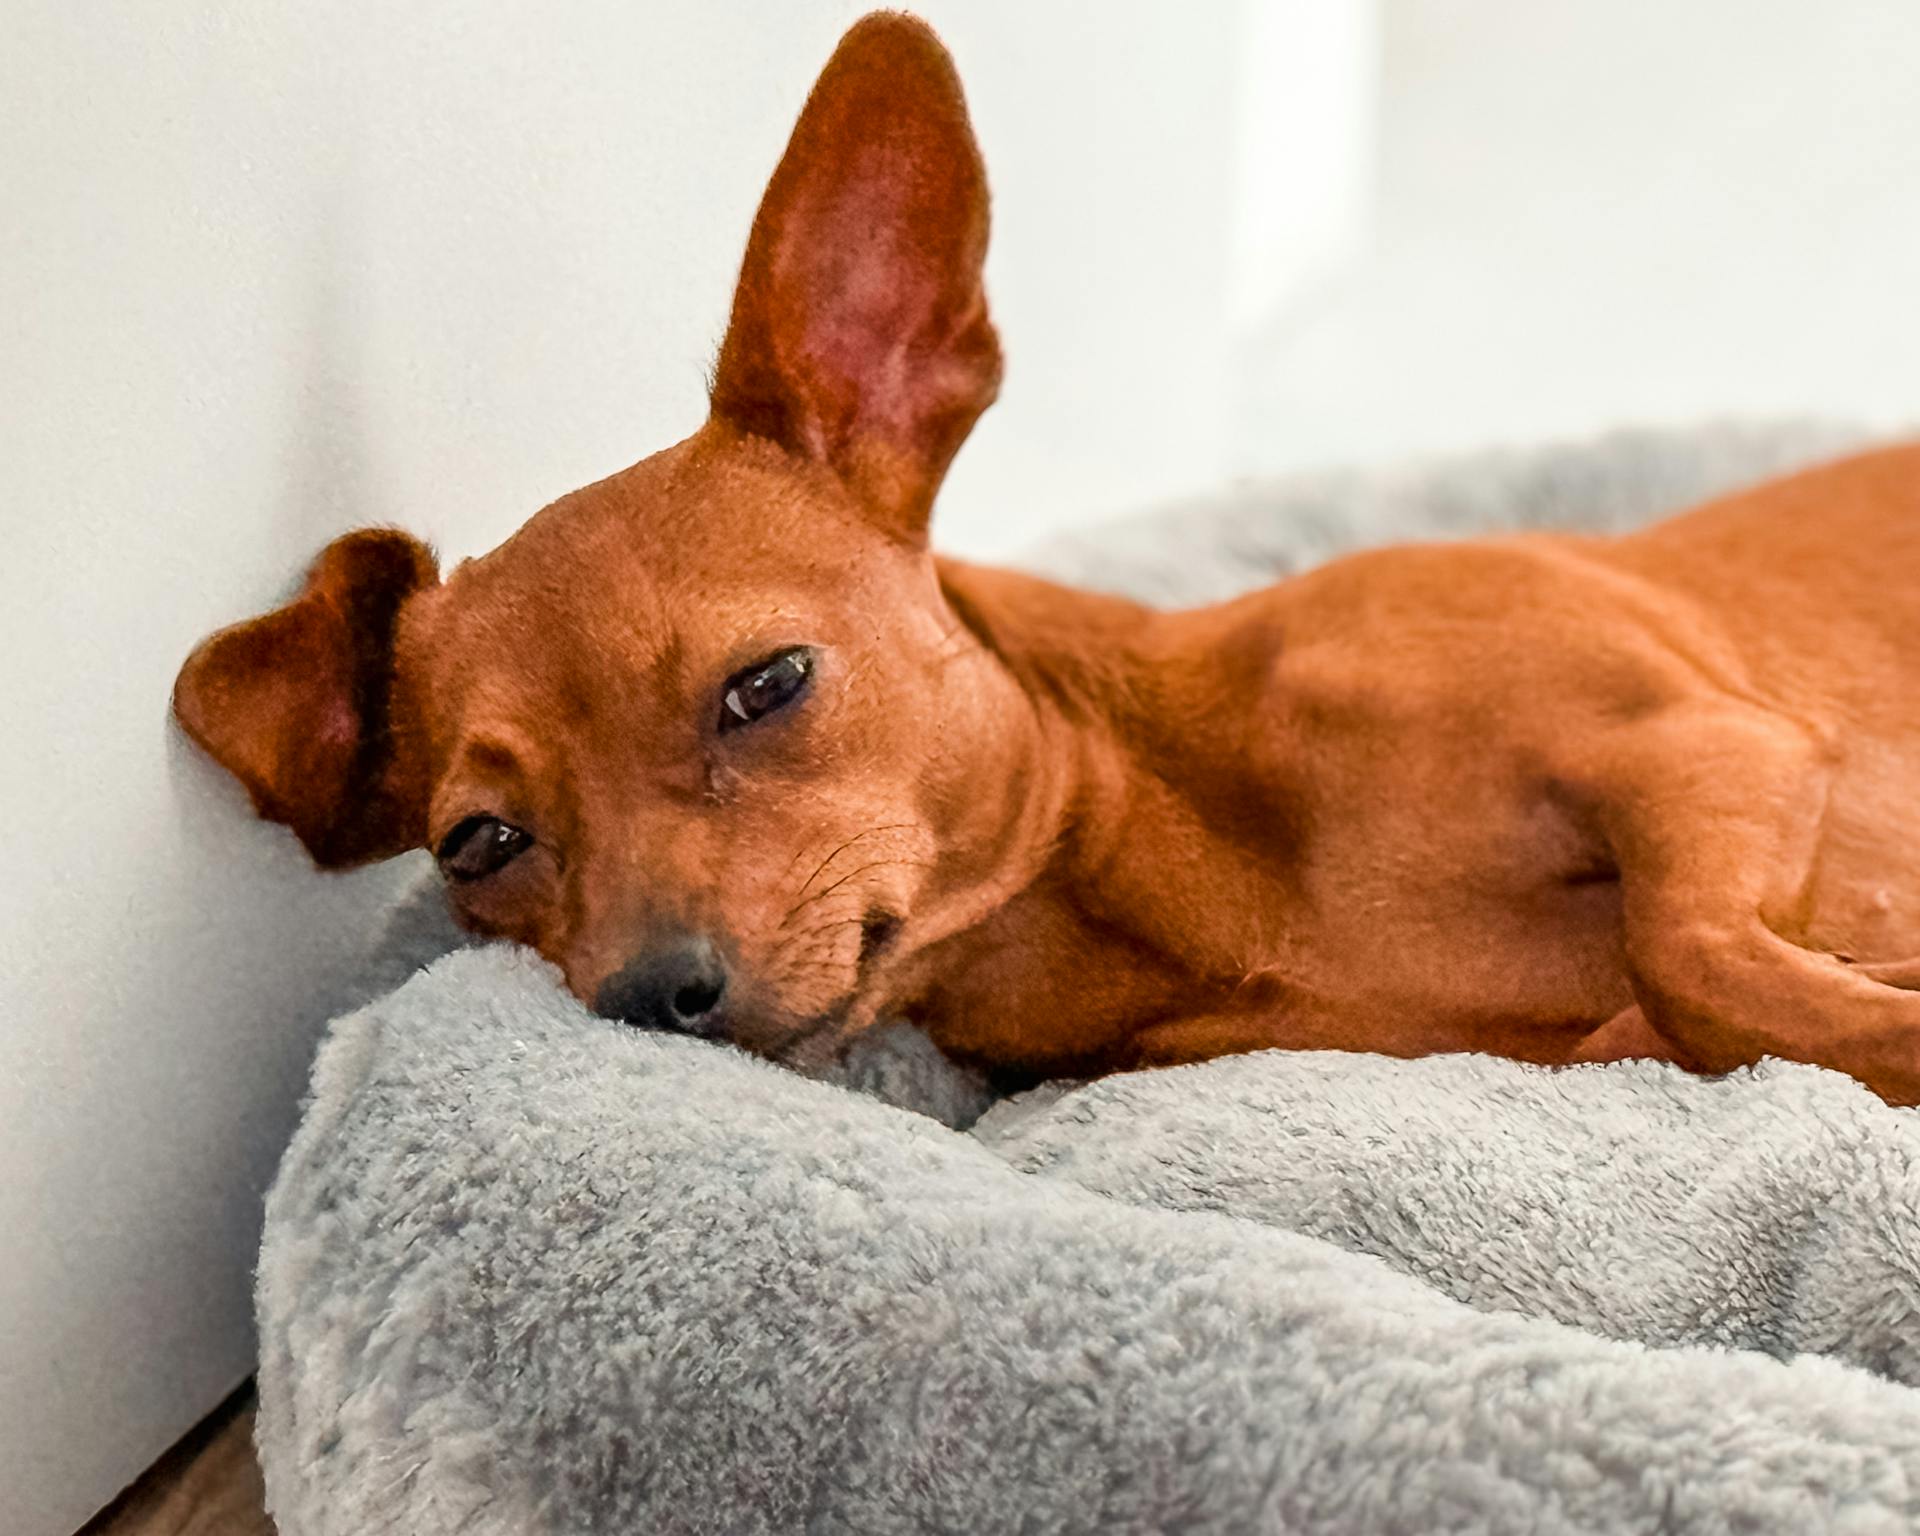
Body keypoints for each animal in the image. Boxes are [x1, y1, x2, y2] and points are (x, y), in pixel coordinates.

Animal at [176, 9, 1920, 1090]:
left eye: (768, 685)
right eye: (481, 845)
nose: (647, 1002)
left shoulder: (1705, 745)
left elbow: (1694, 952)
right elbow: (1685, 999)